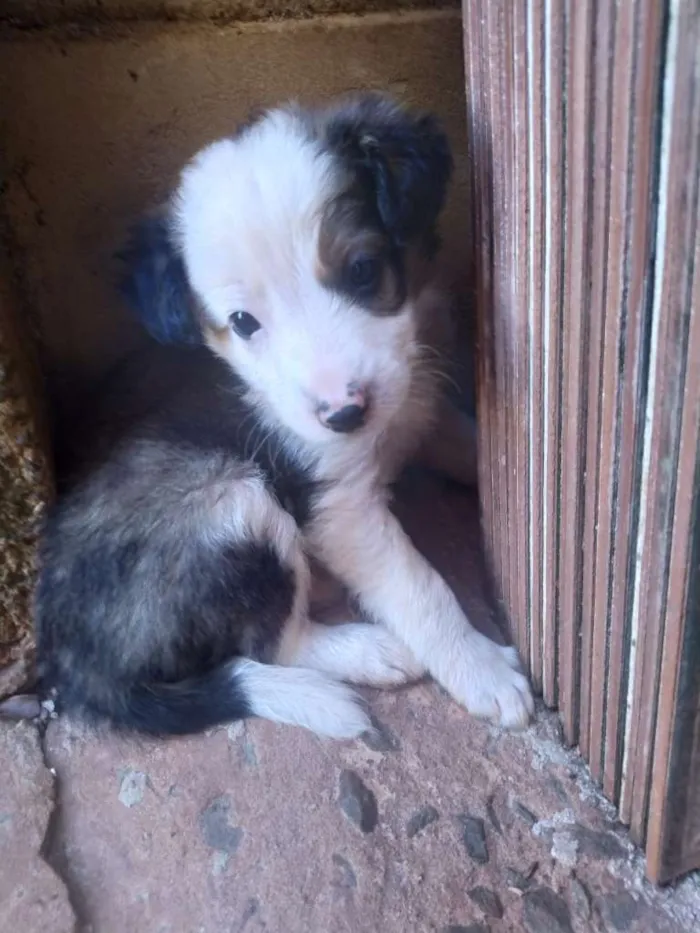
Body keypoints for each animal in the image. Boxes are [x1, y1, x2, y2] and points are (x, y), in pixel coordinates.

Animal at [35, 93, 532, 736]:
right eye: (244, 322)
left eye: (362, 270)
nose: (344, 413)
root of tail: (76, 671)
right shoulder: (339, 505)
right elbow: (419, 587)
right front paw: (481, 669)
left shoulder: (417, 405)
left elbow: (460, 440)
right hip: (231, 504)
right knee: (274, 643)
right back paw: (367, 652)